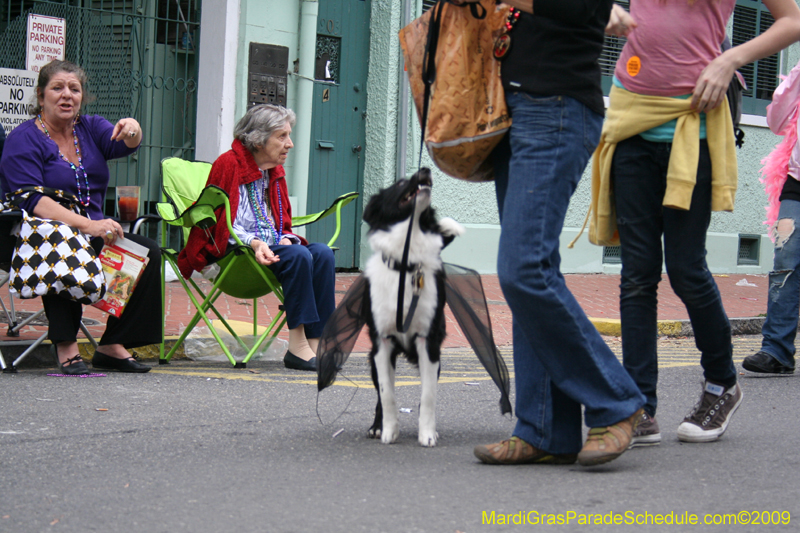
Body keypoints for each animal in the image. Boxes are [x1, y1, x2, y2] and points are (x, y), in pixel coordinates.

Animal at [360, 167, 466, 444]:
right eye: (399, 182)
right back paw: (377, 426)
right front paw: (388, 430)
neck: (405, 265)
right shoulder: (382, 343)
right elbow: (386, 394)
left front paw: (427, 434)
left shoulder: (428, 342)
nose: (425, 169)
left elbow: (428, 396)